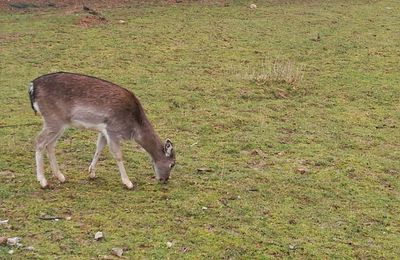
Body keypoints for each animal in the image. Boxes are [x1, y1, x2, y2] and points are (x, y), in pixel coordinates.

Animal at [28, 71, 176, 189]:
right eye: (172, 164)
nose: (164, 179)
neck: (134, 125)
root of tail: (32, 86)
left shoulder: (104, 131)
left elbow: (99, 147)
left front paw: (91, 173)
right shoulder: (113, 130)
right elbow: (118, 155)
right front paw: (128, 182)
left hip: (60, 123)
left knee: (50, 144)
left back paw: (60, 176)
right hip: (53, 119)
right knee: (39, 141)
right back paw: (43, 181)